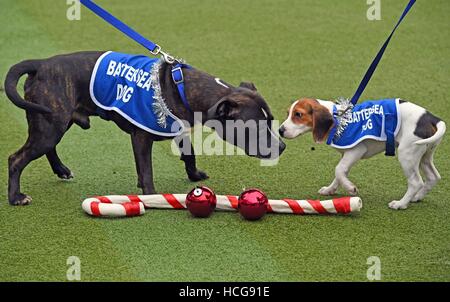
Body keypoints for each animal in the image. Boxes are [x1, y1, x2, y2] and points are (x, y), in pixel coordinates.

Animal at [4, 52, 284, 206]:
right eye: (255, 128)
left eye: (271, 121)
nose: (281, 146)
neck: (183, 88)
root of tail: (41, 64)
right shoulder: (141, 138)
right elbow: (147, 169)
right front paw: (150, 196)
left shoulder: (178, 128)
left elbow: (189, 153)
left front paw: (193, 175)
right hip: (50, 126)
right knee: (16, 159)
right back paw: (16, 197)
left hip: (54, 123)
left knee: (48, 148)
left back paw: (61, 170)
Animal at [280, 99, 444, 210]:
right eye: (288, 113)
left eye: (298, 114)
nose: (280, 130)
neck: (339, 119)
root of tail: (431, 118)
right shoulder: (346, 154)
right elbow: (340, 173)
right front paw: (330, 189)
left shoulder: (356, 150)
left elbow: (338, 170)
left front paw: (350, 188)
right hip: (424, 156)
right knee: (433, 177)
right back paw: (417, 197)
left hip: (407, 155)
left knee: (416, 182)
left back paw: (401, 204)